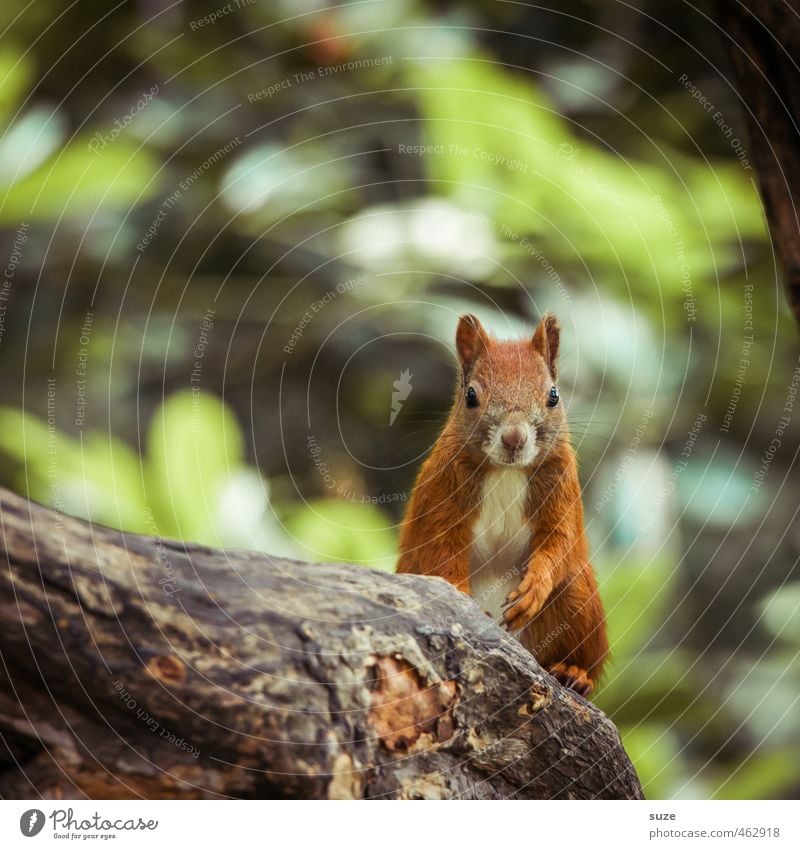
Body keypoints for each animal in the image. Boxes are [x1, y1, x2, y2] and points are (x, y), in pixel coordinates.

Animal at [396, 312, 608, 696]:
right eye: (471, 395)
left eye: (553, 395)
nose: (514, 438)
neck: (507, 471)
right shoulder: (441, 495)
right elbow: (441, 549)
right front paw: (463, 600)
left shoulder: (563, 490)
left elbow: (558, 540)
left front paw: (534, 588)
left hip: (578, 598)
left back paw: (573, 673)